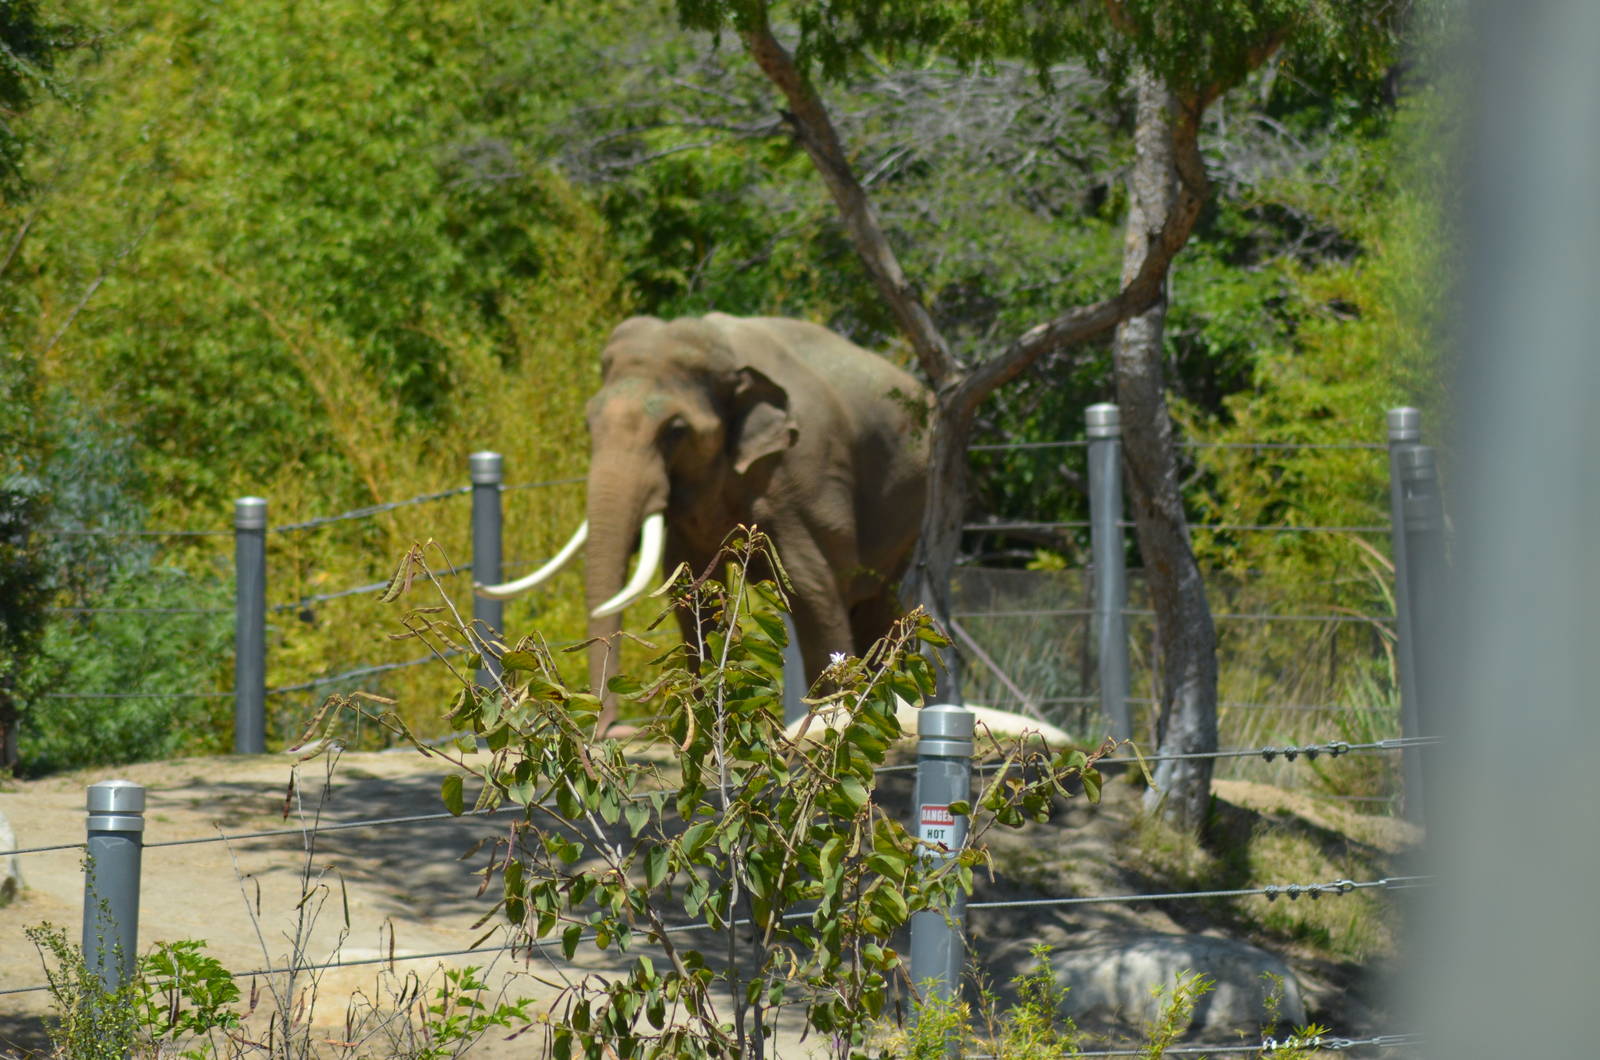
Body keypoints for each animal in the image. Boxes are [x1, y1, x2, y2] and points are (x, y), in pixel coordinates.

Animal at [478, 313, 930, 730]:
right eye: (589, 424)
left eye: (675, 431)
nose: (611, 728)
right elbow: (690, 587)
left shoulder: (805, 475)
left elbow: (814, 588)